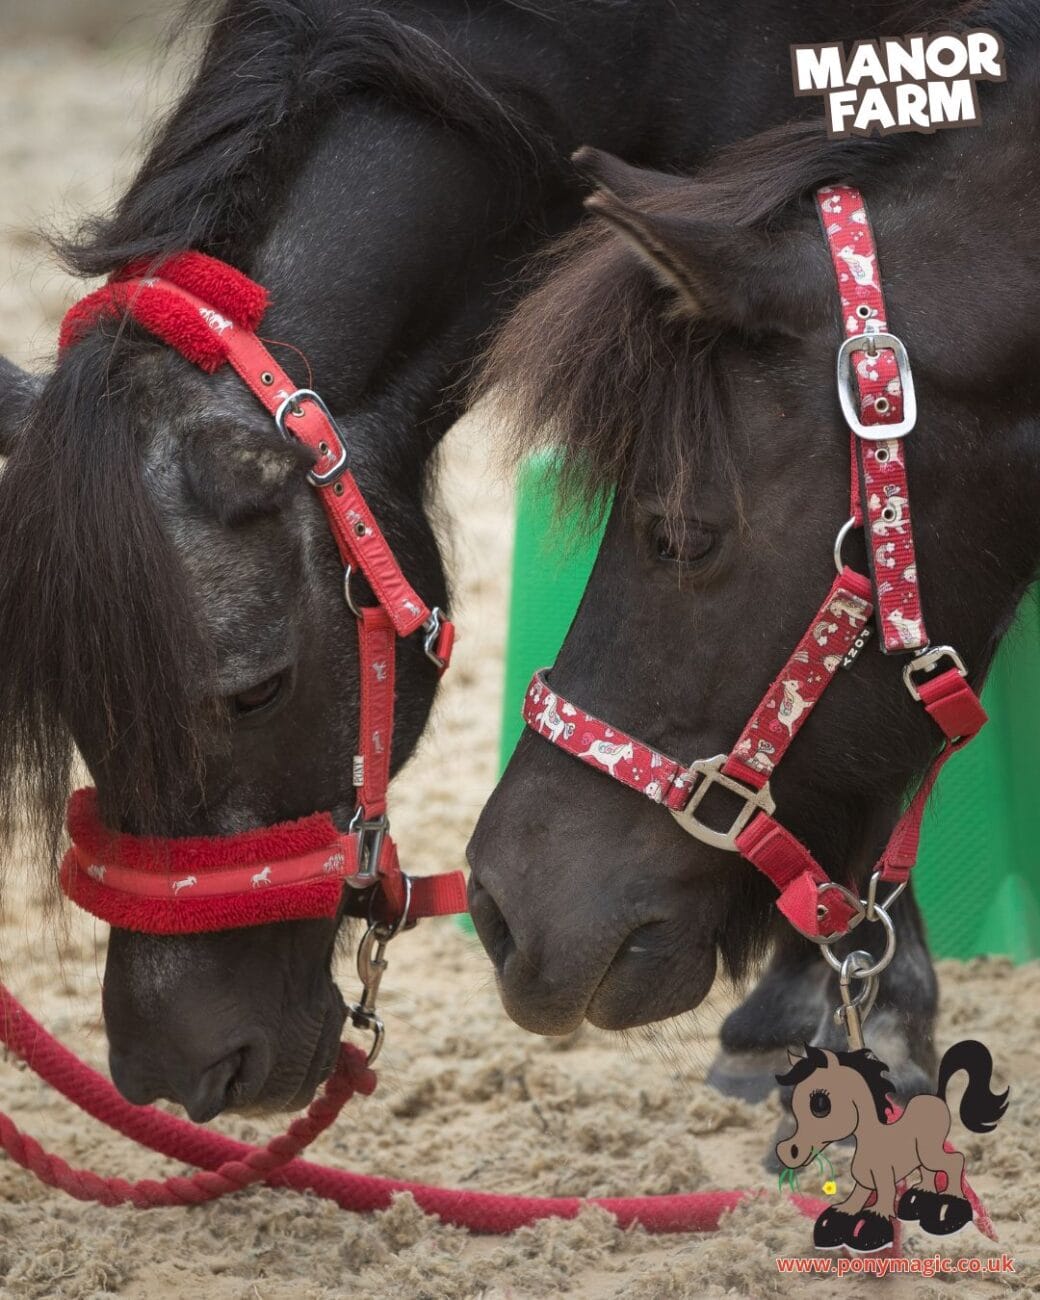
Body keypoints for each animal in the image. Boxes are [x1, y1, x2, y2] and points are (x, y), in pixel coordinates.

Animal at [776, 1040, 1008, 1252]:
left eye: (820, 1105)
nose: (787, 1151)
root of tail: (938, 1098)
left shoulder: (885, 1182)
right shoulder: (863, 1185)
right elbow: (849, 1207)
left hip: (931, 1153)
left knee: (955, 1162)